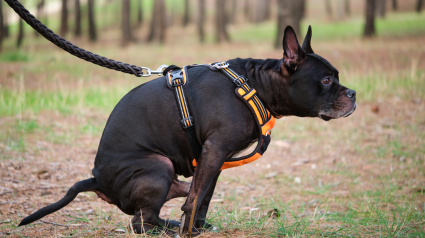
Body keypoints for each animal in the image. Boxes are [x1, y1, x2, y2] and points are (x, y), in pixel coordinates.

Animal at [17, 26, 354, 236]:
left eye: (337, 77)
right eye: (326, 80)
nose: (353, 94)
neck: (255, 84)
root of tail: (97, 178)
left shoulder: (215, 157)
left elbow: (202, 197)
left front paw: (197, 228)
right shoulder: (215, 151)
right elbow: (195, 200)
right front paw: (187, 232)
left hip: (175, 175)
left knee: (173, 198)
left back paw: (171, 222)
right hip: (159, 166)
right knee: (140, 222)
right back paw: (167, 228)